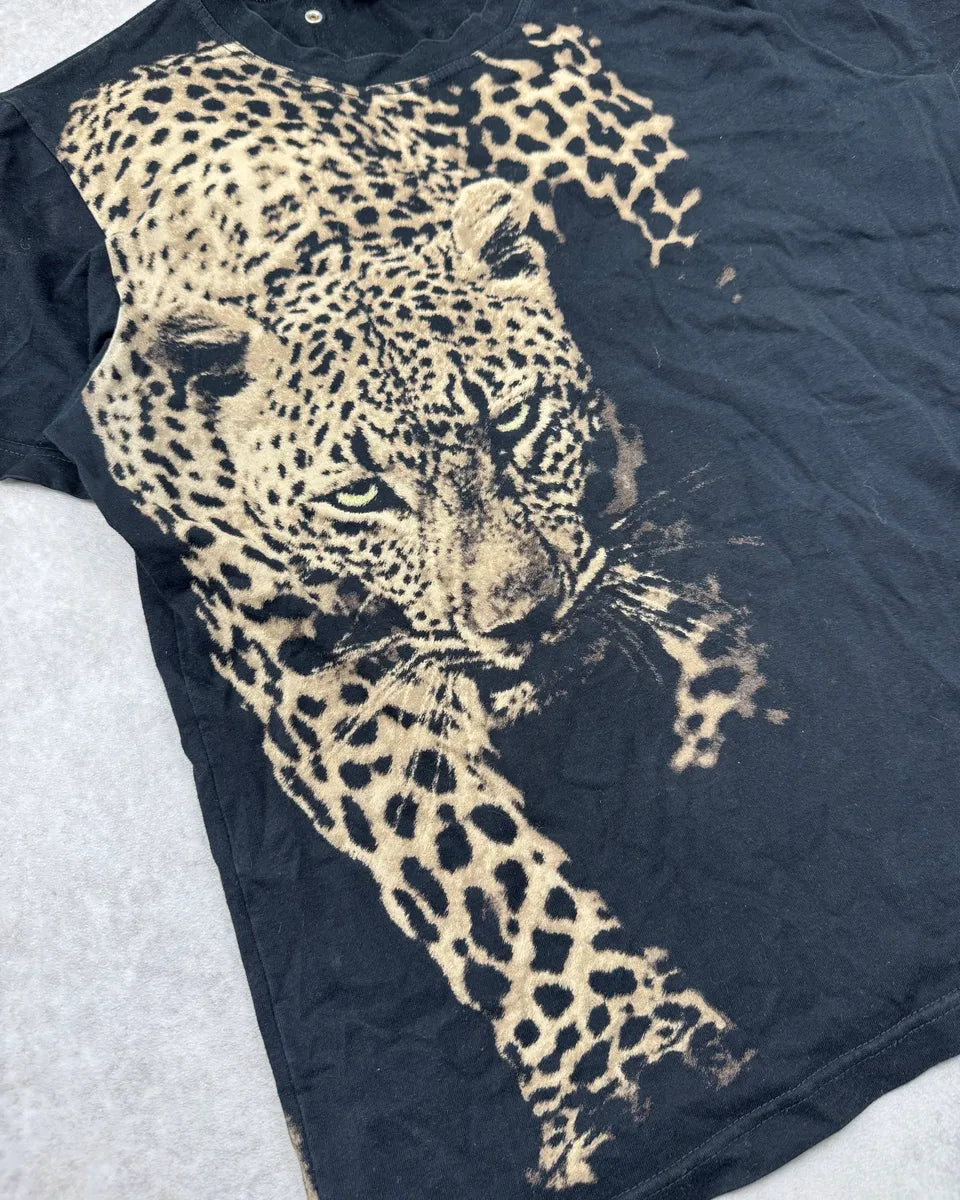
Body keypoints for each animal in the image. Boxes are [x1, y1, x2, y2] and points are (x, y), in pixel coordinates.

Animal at [57, 22, 769, 1190]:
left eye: (514, 421)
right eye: (361, 495)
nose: (524, 619)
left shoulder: (625, 489)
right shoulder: (324, 687)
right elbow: (487, 880)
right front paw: (630, 1069)